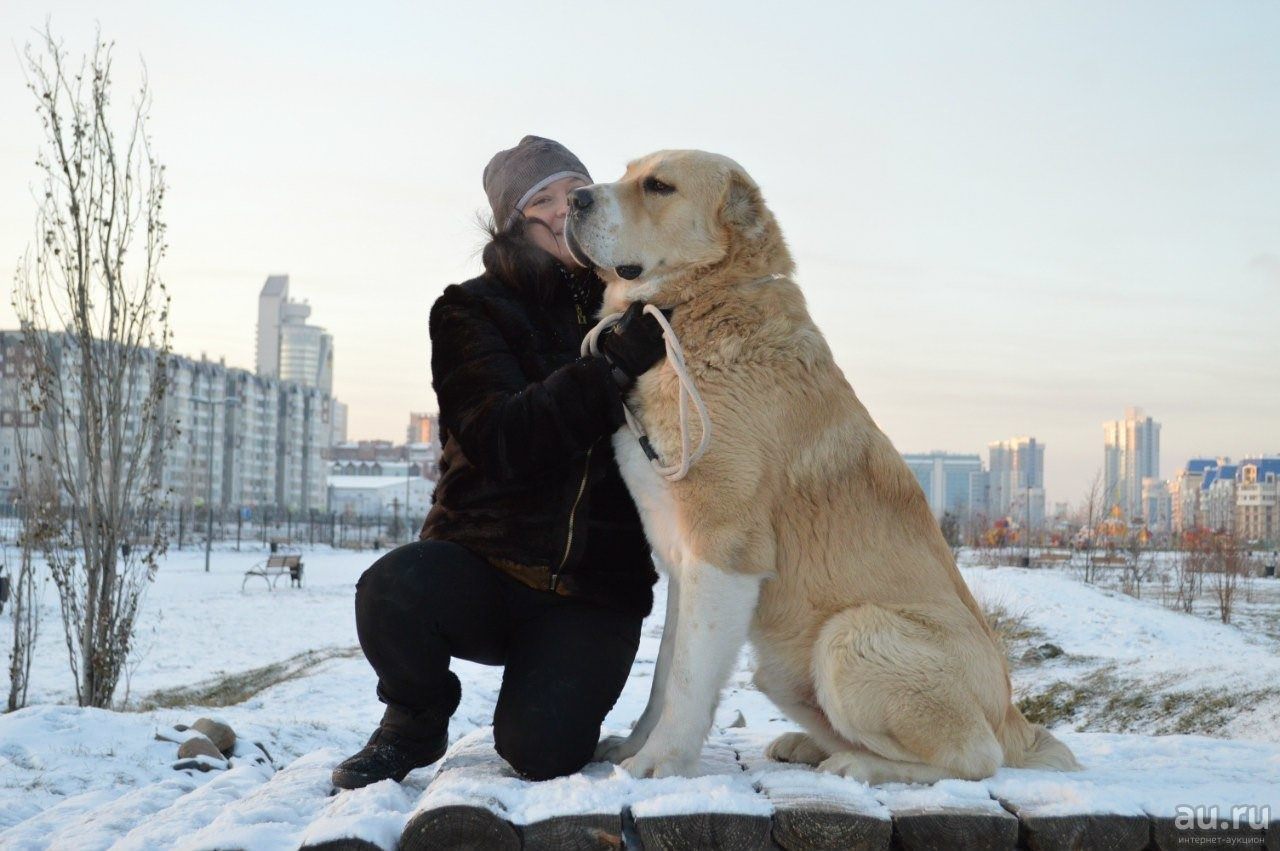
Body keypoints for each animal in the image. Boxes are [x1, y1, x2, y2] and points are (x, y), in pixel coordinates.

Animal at [565, 151, 1075, 783]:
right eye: (628, 170)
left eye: (658, 186)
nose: (576, 199)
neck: (694, 311)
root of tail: (1014, 720)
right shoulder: (685, 564)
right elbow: (664, 675)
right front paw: (635, 746)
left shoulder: (725, 551)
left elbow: (685, 680)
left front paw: (660, 762)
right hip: (784, 668)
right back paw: (813, 746)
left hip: (850, 634)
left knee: (975, 758)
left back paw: (856, 765)